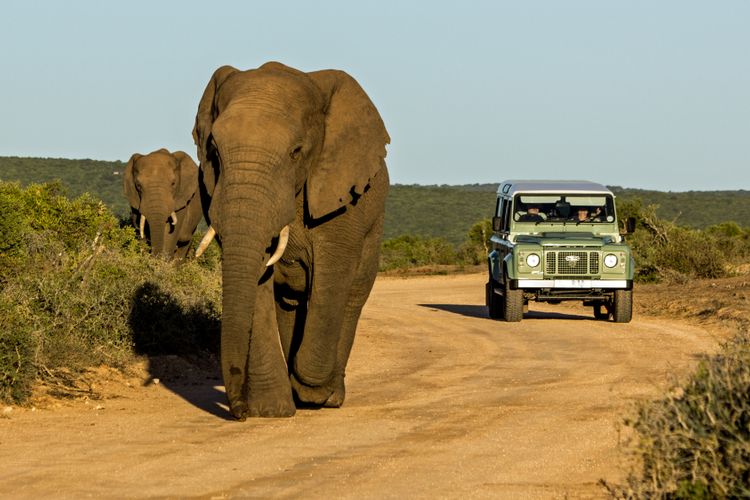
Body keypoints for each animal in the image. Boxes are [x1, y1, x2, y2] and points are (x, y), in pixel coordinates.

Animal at [194, 60, 390, 418]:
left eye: (296, 152)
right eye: (214, 150)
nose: (239, 411)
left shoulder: (342, 200)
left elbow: (332, 278)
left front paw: (312, 391)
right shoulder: (211, 189)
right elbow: (257, 284)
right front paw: (271, 410)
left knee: (352, 295)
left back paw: (328, 397)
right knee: (289, 303)